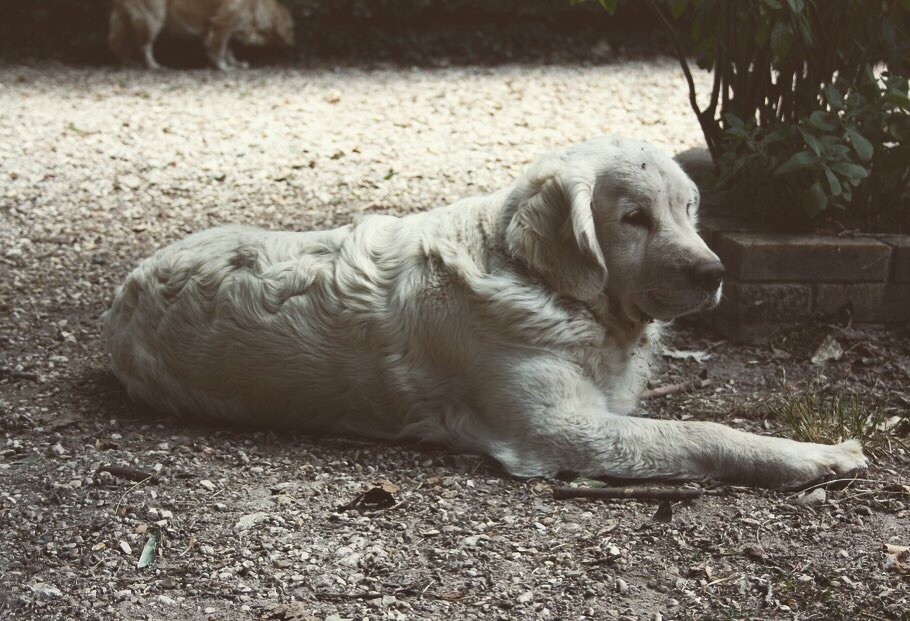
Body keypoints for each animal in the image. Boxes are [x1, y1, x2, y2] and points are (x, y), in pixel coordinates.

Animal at [107, 137, 868, 490]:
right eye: (633, 217)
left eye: (689, 210)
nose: (714, 273)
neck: (542, 281)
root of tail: (128, 287)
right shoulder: (562, 431)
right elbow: (704, 432)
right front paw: (818, 454)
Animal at [109, 0, 296, 69]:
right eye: (291, 28)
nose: (293, 43)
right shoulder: (224, 24)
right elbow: (219, 48)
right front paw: (223, 66)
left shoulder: (227, 27)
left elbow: (228, 49)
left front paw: (235, 63)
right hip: (155, 17)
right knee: (144, 45)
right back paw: (154, 65)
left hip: (124, 20)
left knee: (117, 42)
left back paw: (126, 62)